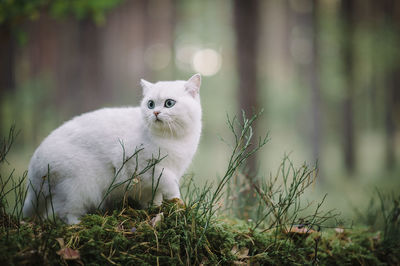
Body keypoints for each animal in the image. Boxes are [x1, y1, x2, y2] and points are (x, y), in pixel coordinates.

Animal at [21, 74, 202, 223]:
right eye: (150, 104)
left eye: (169, 103)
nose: (155, 112)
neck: (172, 138)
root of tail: (34, 168)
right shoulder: (147, 167)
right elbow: (171, 185)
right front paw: (178, 203)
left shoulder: (156, 179)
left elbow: (154, 195)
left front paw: (154, 209)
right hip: (77, 189)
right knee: (64, 214)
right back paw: (80, 223)